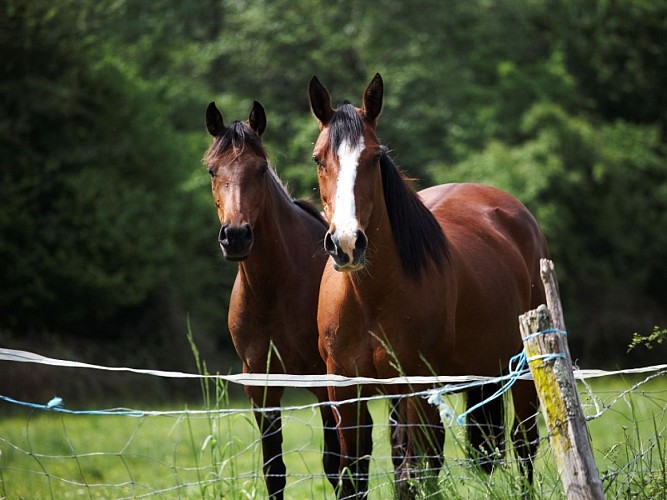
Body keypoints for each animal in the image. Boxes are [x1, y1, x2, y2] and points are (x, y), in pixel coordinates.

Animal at [204, 100, 339, 499]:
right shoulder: (261, 386)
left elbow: (335, 464)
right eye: (212, 169)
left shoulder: (323, 382)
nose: (235, 236)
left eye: (260, 169)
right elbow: (273, 470)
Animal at [308, 74, 550, 498]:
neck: (368, 299)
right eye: (319, 159)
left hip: (520, 376)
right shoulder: (346, 392)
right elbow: (354, 476)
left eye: (375, 157)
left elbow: (413, 477)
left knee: (524, 446)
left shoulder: (416, 388)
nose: (347, 243)